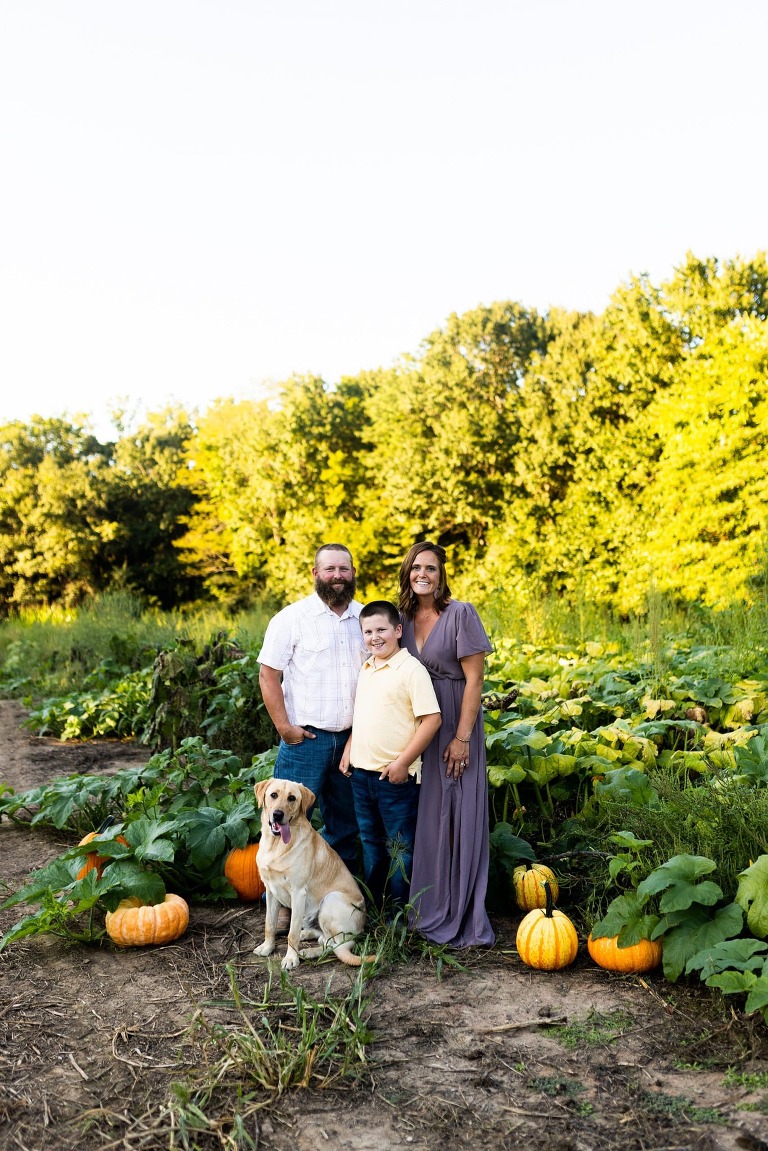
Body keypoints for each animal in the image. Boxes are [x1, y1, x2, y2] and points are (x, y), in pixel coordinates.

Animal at [252, 778, 373, 966]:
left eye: (292, 798)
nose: (278, 814)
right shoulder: (271, 891)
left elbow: (291, 933)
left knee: (335, 946)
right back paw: (306, 936)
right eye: (273, 795)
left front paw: (291, 959)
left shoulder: (298, 893)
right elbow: (269, 925)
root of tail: (361, 929)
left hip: (331, 900)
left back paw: (307, 952)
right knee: (323, 938)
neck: (277, 845)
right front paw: (267, 948)